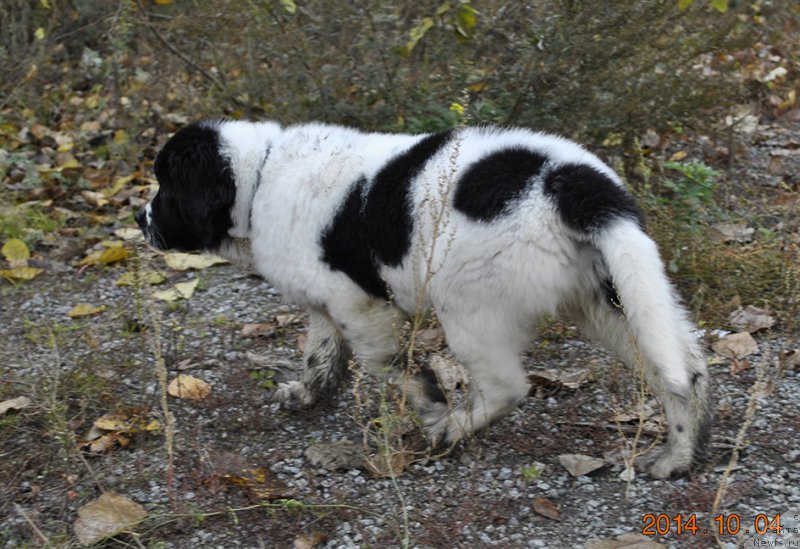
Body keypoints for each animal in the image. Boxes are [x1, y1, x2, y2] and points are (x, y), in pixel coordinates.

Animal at [138, 119, 712, 476]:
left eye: (165, 187)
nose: (138, 220)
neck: (259, 176)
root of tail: (571, 183)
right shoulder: (325, 304)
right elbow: (320, 356)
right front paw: (305, 396)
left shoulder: (358, 304)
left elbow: (386, 363)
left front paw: (430, 403)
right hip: (613, 295)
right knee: (681, 370)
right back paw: (678, 456)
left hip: (469, 305)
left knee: (507, 387)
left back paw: (449, 431)